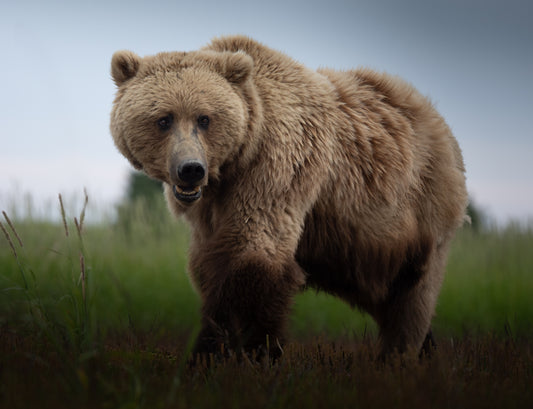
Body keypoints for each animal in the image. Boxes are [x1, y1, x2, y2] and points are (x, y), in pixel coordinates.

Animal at [108, 36, 466, 358]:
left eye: (204, 118)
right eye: (163, 119)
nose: (191, 169)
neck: (236, 160)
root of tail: (434, 116)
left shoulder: (279, 166)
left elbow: (251, 252)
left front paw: (244, 350)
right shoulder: (210, 208)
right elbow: (208, 263)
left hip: (422, 207)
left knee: (413, 296)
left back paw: (400, 354)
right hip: (357, 245)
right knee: (384, 290)